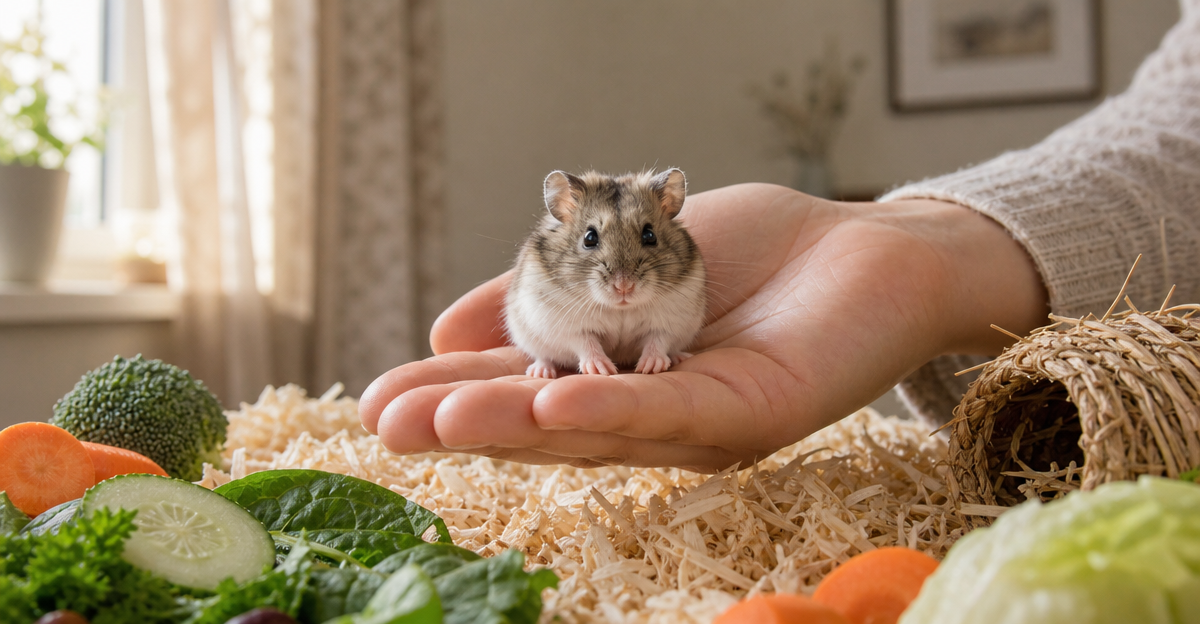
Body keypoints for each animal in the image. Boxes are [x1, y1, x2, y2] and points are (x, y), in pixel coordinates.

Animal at [505, 168, 706, 378]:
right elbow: (585, 342)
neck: (620, 308)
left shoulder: (671, 323)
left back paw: (680, 357)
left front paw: (650, 366)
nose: (624, 287)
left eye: (650, 235)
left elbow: (658, 340)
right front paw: (602, 369)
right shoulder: (565, 326)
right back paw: (540, 372)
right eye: (589, 238)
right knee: (543, 356)